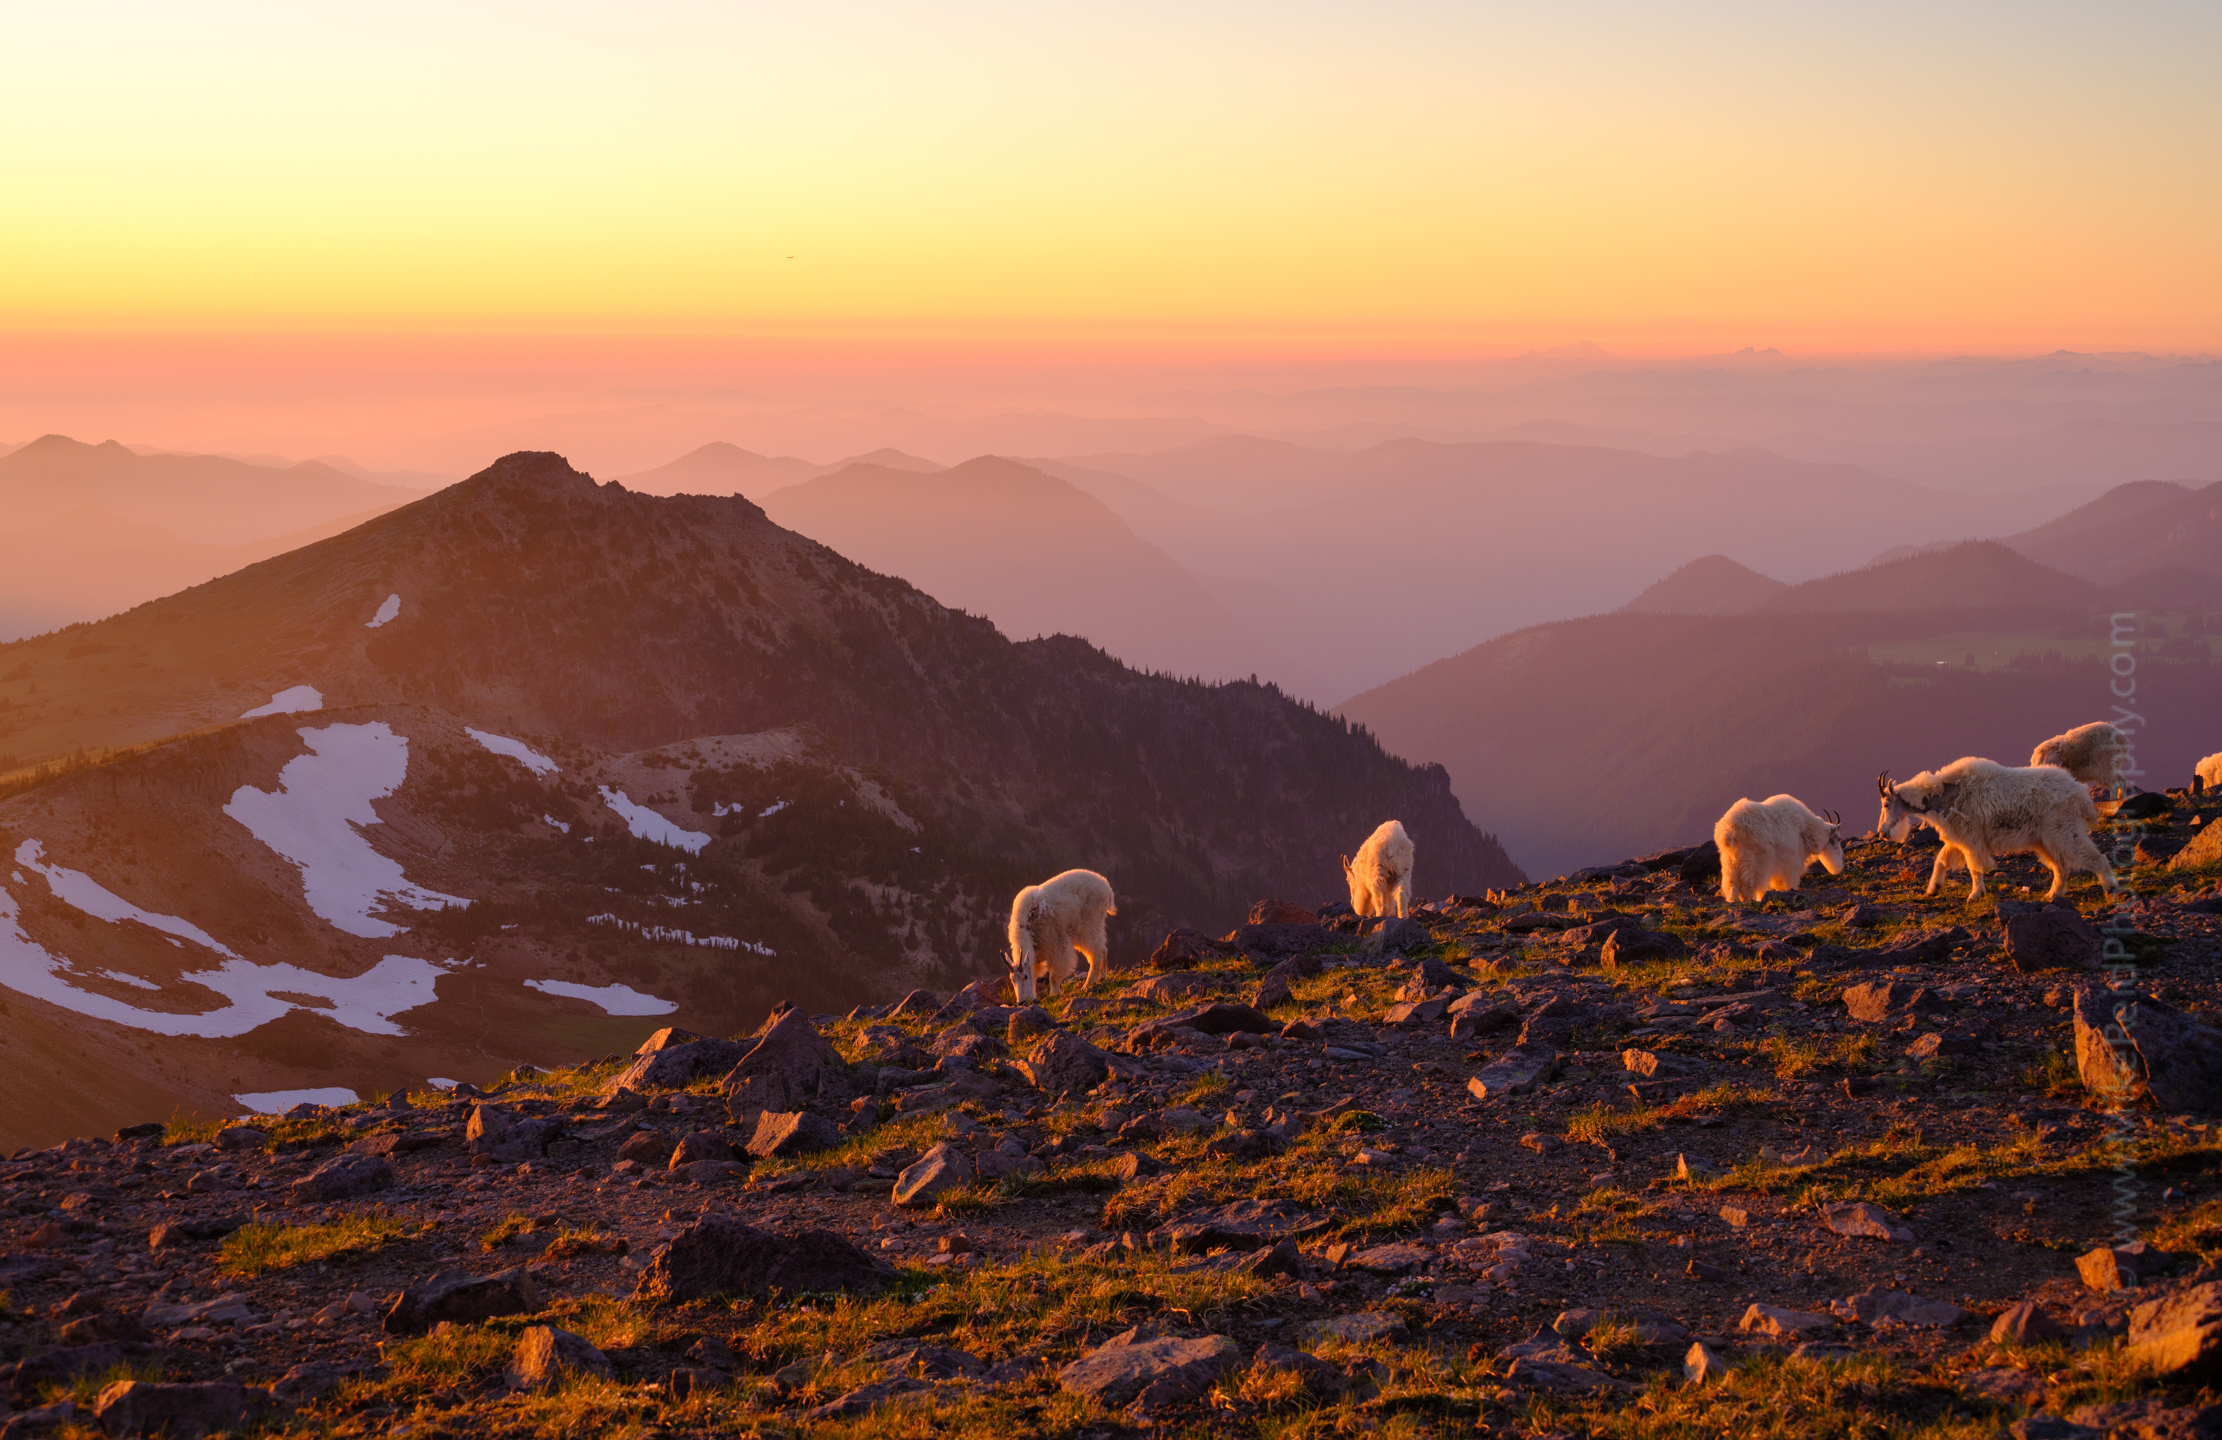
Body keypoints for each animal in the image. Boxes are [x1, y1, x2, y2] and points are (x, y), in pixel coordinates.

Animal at [1008, 866, 1111, 1000]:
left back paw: (1088, 984)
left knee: (1096, 952)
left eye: (1025, 976)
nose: (1021, 1002)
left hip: (1090, 923)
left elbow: (1054, 974)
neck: (1027, 928)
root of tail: (1106, 887)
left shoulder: (1055, 943)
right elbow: (1035, 974)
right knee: (1103, 949)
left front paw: (1054, 994)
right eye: (1013, 980)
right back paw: (1102, 978)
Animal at [1706, 800, 1848, 897]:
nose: (1843, 860)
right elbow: (1789, 882)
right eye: (1838, 838)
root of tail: (1728, 833)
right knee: (1748, 887)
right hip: (1755, 861)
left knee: (1731, 887)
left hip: (1729, 861)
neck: (1806, 829)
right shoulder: (1791, 863)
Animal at [1875, 755, 2115, 897]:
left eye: (1886, 803)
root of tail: (2080, 793)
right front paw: (1932, 890)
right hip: (2045, 839)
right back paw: (2052, 895)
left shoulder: (1971, 838)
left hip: (2064, 832)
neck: (1942, 795)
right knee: (2061, 867)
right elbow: (1941, 860)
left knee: (2095, 858)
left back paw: (2110, 889)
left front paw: (1975, 895)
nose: (1882, 832)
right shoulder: (1958, 838)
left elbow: (1974, 867)